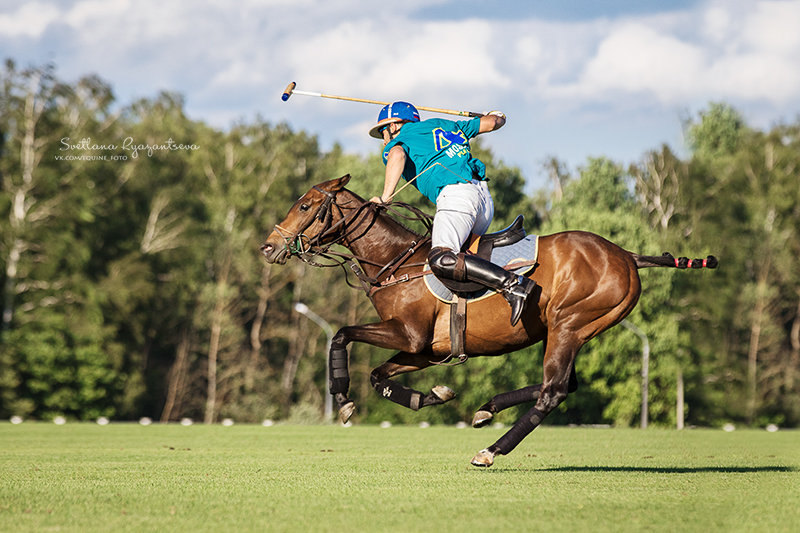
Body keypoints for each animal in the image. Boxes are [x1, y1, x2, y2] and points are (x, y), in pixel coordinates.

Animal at [260, 176, 716, 466]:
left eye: (305, 205)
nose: (268, 247)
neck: (397, 261)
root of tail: (627, 255)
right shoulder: (425, 350)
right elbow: (378, 376)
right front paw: (433, 396)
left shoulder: (407, 334)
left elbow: (340, 335)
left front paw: (343, 399)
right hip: (573, 330)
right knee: (565, 385)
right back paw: (487, 408)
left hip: (568, 324)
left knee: (553, 391)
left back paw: (490, 451)